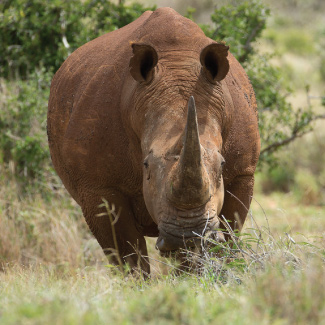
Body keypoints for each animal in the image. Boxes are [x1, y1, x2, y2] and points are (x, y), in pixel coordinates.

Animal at [46, 6, 260, 274]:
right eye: (146, 165)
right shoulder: (97, 186)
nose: (188, 236)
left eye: (222, 164)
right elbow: (128, 257)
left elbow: (230, 237)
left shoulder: (243, 172)